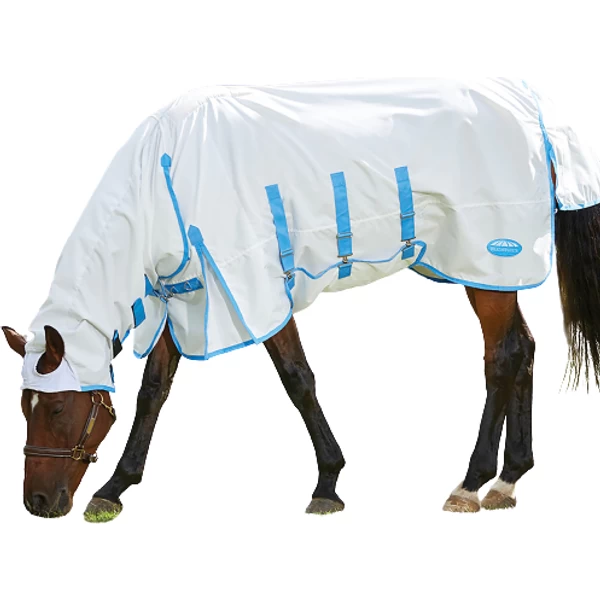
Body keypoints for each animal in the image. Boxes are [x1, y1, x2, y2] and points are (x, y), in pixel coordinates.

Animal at [3, 77, 600, 520]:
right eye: (24, 405)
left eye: (56, 406)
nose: (37, 503)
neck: (164, 180)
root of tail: (537, 114)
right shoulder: (184, 295)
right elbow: (154, 392)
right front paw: (114, 489)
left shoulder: (254, 292)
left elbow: (297, 379)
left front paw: (327, 484)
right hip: (489, 272)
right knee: (523, 349)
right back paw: (509, 480)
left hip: (487, 261)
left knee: (502, 357)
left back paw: (471, 484)